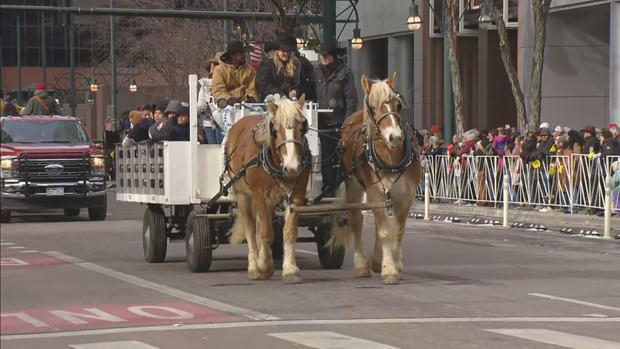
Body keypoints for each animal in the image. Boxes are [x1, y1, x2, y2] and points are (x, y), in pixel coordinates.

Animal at [225, 95, 310, 282]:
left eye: (302, 128)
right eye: (276, 130)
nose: (292, 167)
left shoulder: (296, 196)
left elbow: (289, 231)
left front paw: (290, 269)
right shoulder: (259, 196)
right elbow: (265, 233)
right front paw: (263, 265)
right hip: (242, 195)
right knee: (251, 229)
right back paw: (254, 266)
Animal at [330, 72, 422, 282]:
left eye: (398, 104)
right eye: (373, 107)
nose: (395, 137)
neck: (391, 158)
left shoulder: (406, 195)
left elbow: (397, 230)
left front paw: (396, 264)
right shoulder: (375, 193)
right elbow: (384, 230)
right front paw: (389, 268)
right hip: (354, 185)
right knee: (356, 221)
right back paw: (363, 265)